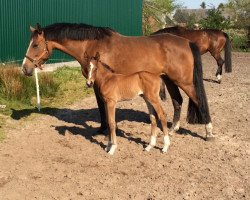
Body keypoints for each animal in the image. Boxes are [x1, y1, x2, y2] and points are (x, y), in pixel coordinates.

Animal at [21, 22, 215, 140]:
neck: (92, 45)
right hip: (169, 80)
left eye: (35, 45)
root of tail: (187, 42)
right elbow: (101, 107)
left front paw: (105, 130)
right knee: (177, 101)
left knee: (198, 100)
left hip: (184, 82)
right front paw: (102, 128)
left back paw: (209, 132)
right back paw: (173, 129)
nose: (25, 68)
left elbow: (103, 107)